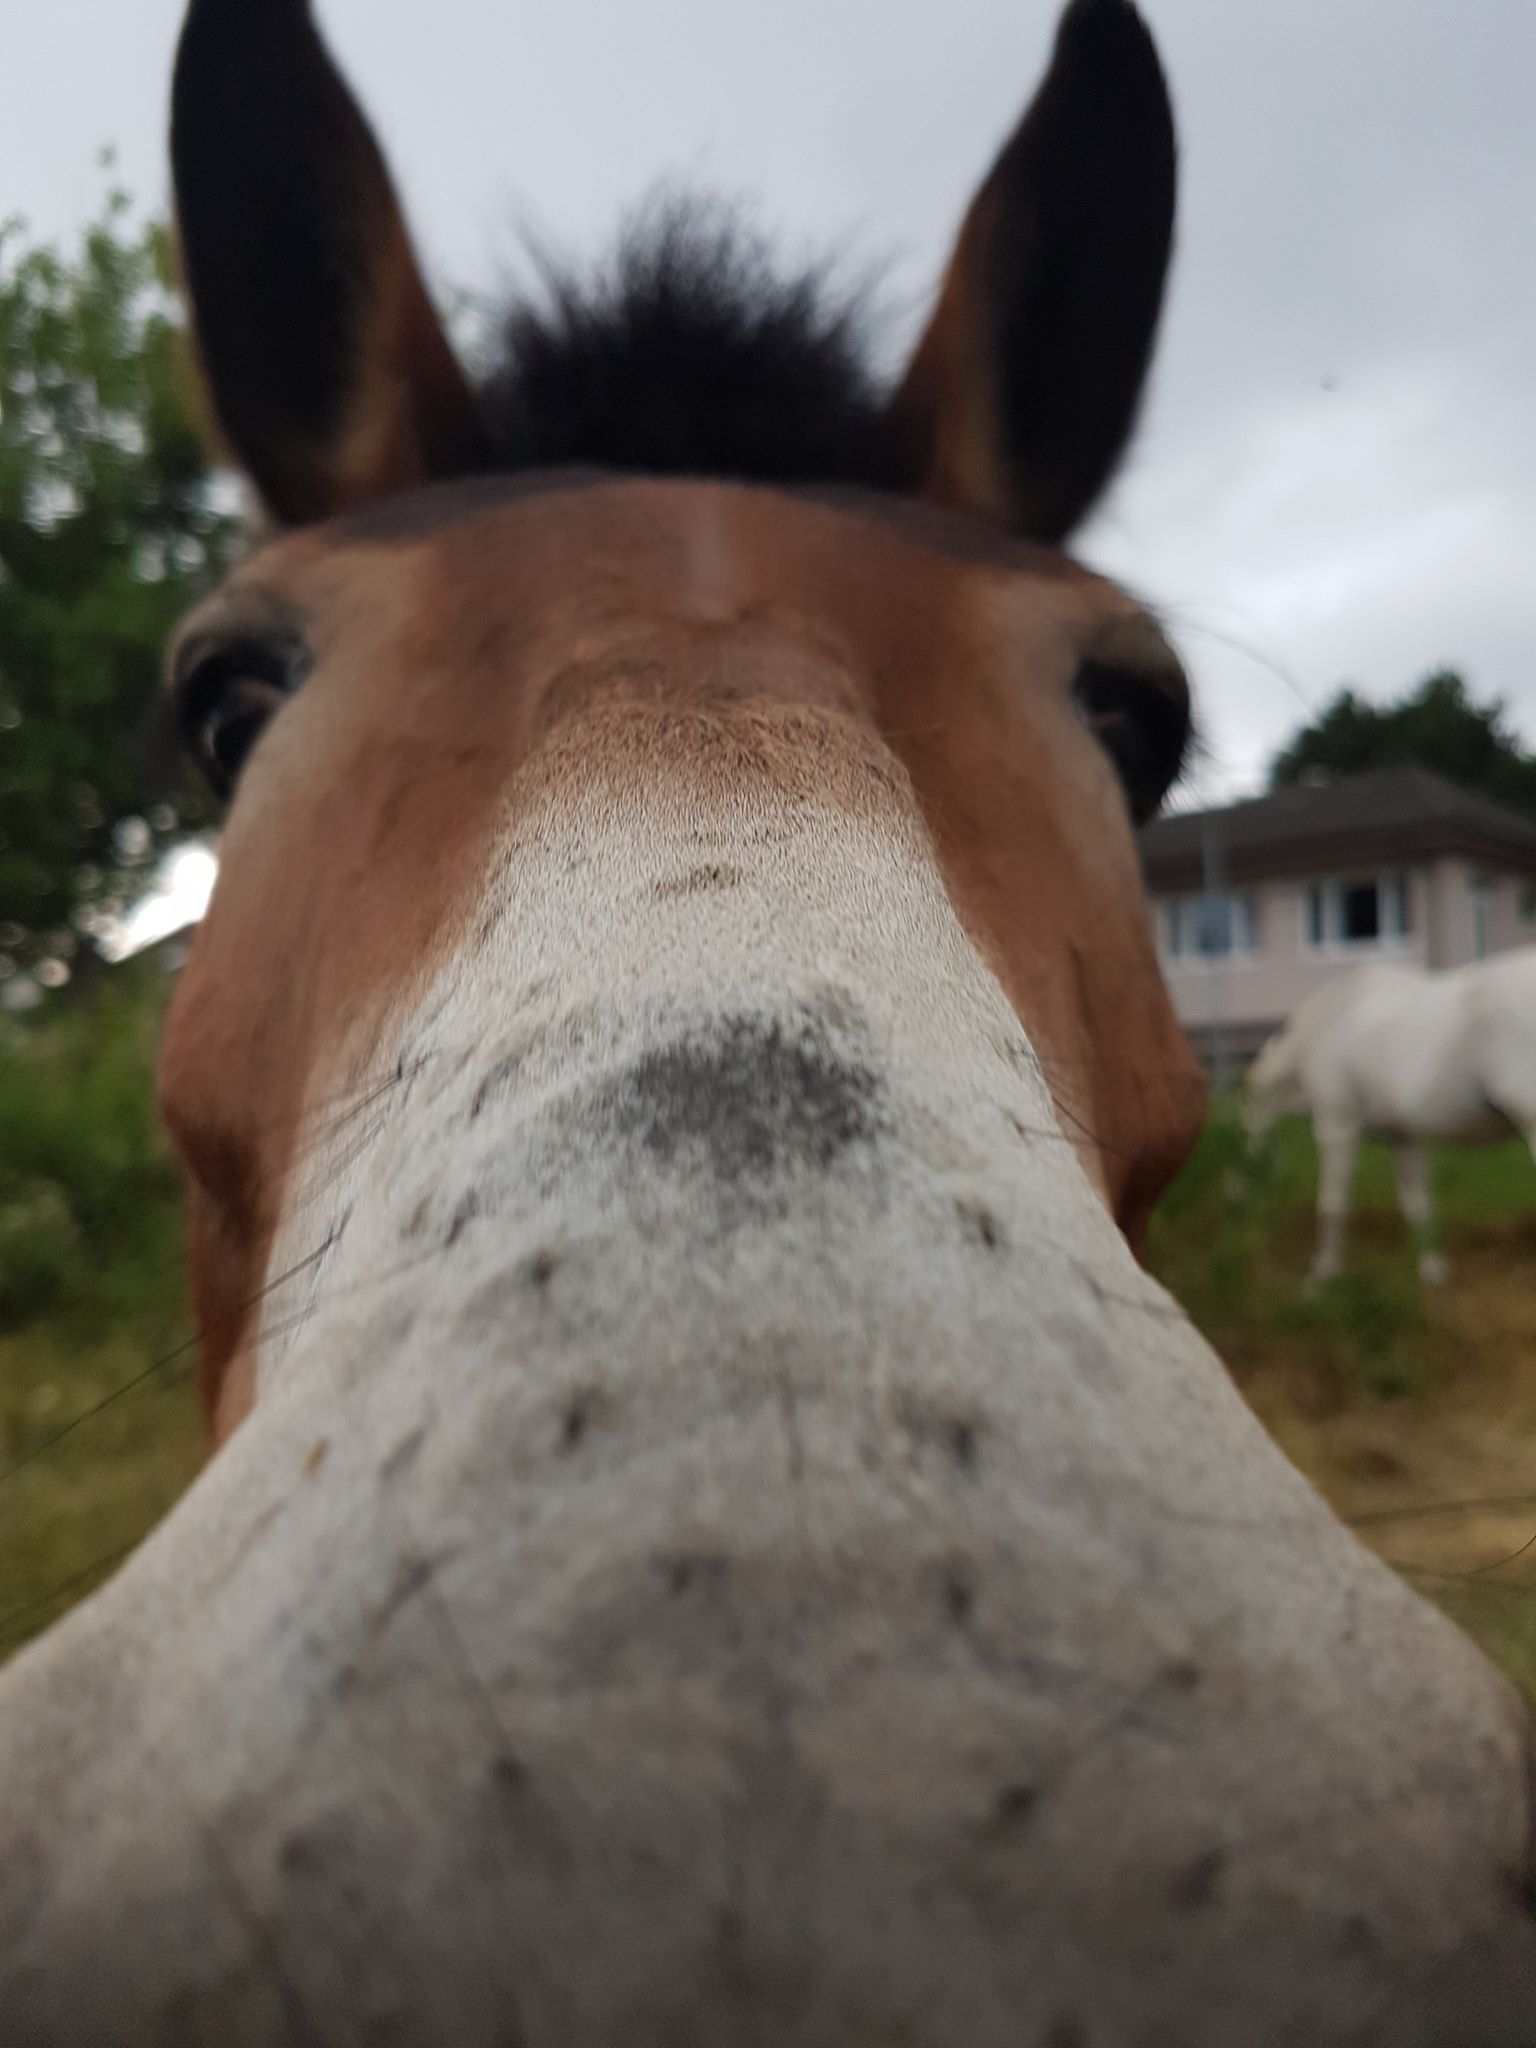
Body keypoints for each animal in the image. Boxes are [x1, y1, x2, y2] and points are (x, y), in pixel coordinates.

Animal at [1245, 946, 1536, 1277]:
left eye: (1249, 1115)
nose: (1242, 1200)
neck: (1327, 1021)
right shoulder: (1405, 1138)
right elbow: (1418, 1205)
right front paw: (1432, 1270)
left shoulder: (1338, 1129)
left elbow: (1333, 1202)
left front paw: (1325, 1271)